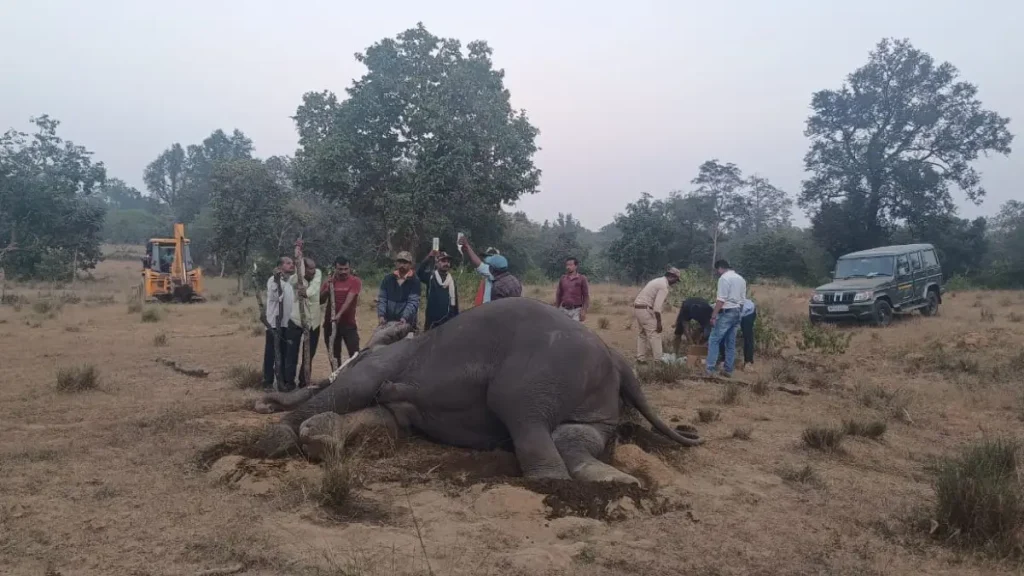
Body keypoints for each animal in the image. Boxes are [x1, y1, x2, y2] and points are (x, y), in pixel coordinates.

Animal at [256, 295, 704, 483]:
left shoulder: (383, 361)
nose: (263, 402)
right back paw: (614, 482)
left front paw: (288, 439)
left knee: (523, 415)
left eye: (395, 328)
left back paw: (555, 483)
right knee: (572, 434)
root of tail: (616, 357)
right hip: (588, 397)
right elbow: (383, 418)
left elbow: (359, 394)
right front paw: (317, 437)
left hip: (535, 374)